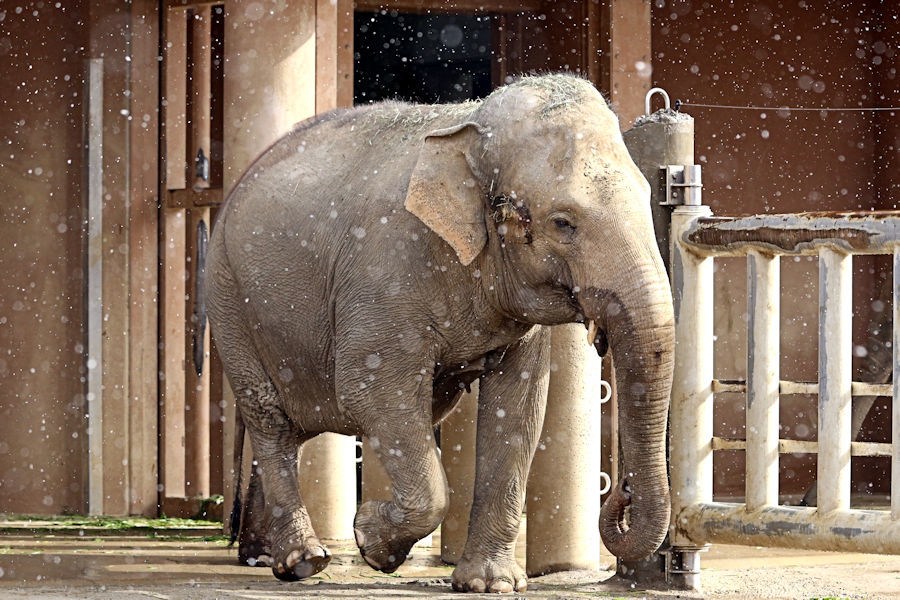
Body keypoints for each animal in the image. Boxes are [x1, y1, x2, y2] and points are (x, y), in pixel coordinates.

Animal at [209, 72, 676, 592]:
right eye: (563, 223)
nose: (620, 494)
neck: (468, 132)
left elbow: (518, 410)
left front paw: (490, 584)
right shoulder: (384, 273)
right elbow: (372, 392)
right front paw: (373, 543)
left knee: (296, 427)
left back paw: (260, 556)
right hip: (229, 297)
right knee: (270, 418)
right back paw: (302, 561)